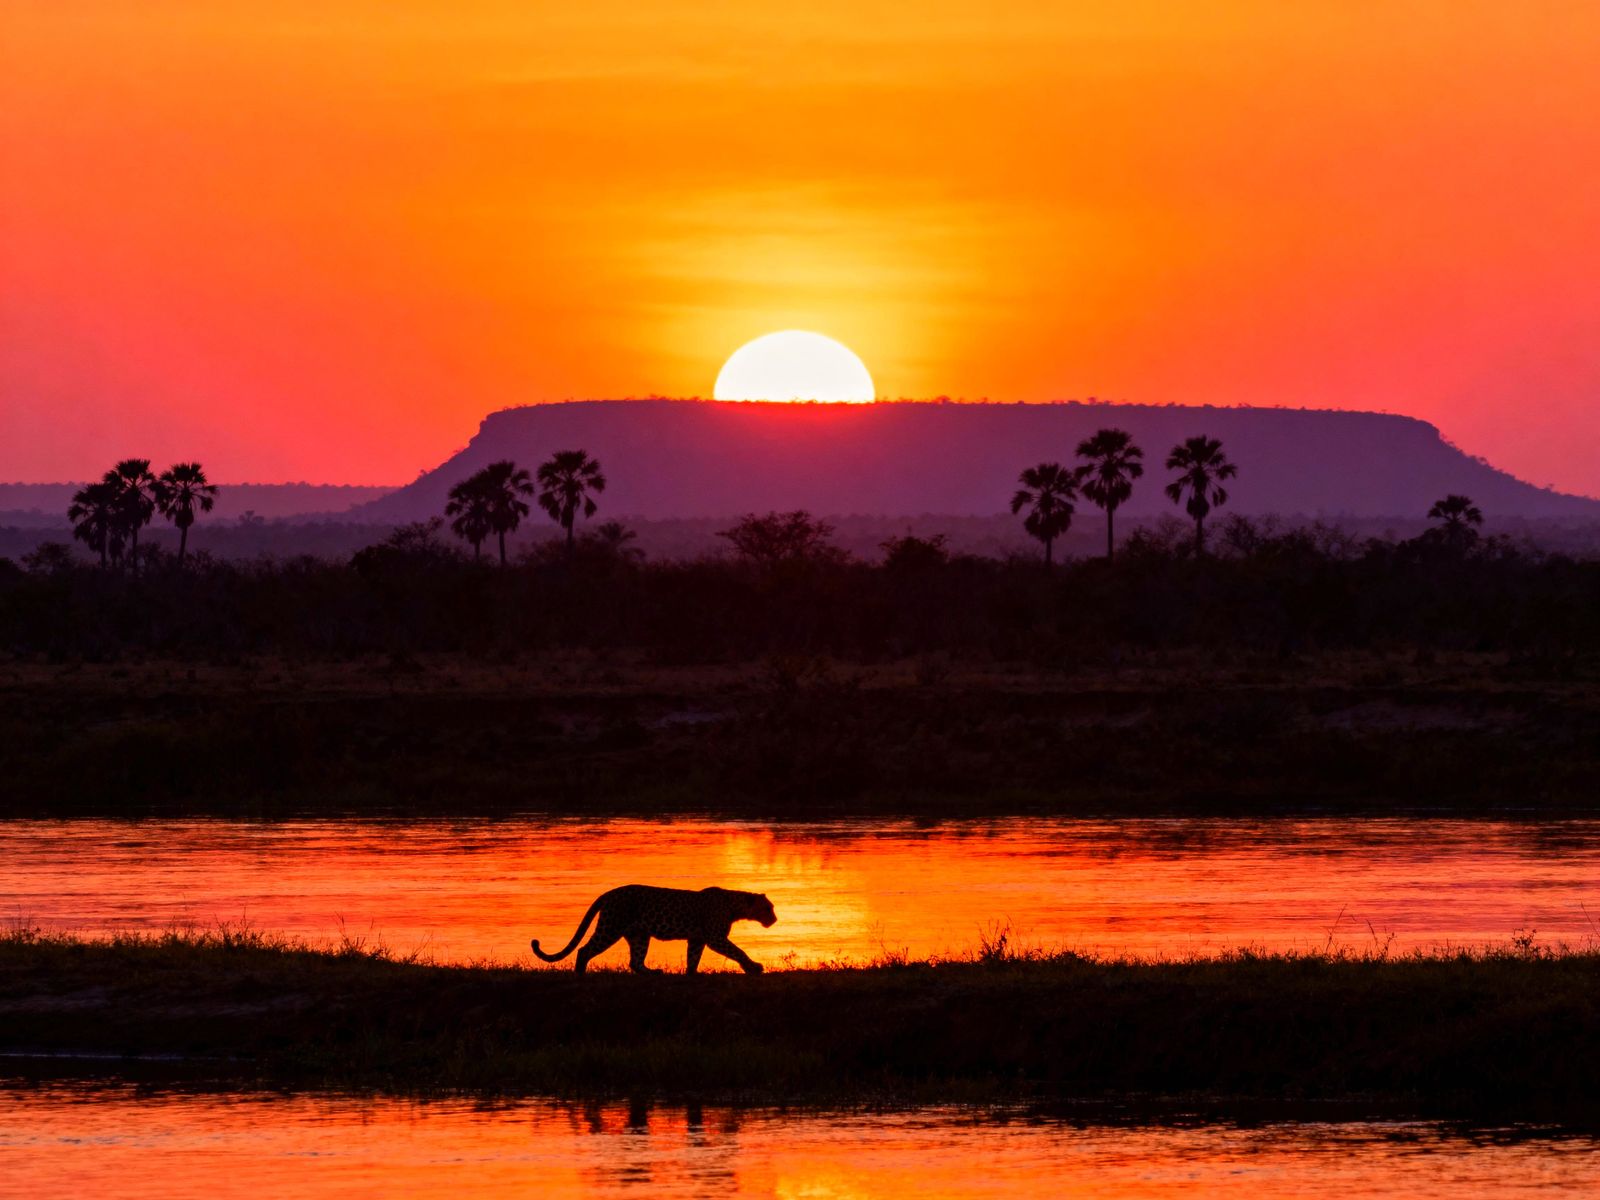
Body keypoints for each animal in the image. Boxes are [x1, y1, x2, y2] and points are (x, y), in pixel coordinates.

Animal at [531, 884, 777, 975]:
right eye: (768, 908)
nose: (775, 919)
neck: (734, 905)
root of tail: (608, 893)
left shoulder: (697, 939)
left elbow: (693, 957)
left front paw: (691, 973)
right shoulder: (715, 937)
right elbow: (738, 951)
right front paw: (754, 967)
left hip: (639, 935)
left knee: (635, 962)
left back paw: (652, 971)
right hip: (611, 927)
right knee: (584, 950)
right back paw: (581, 973)